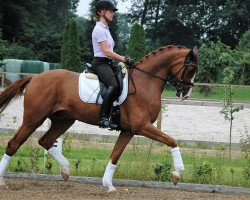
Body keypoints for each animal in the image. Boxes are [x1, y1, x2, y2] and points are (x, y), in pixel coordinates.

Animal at [0, 45, 197, 192]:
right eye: (190, 68)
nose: (186, 94)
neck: (145, 82)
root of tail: (35, 77)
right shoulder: (141, 126)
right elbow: (171, 140)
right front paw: (177, 174)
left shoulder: (129, 130)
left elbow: (115, 156)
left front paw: (108, 185)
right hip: (34, 118)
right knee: (14, 144)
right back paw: (3, 181)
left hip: (64, 119)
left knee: (46, 141)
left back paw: (66, 170)